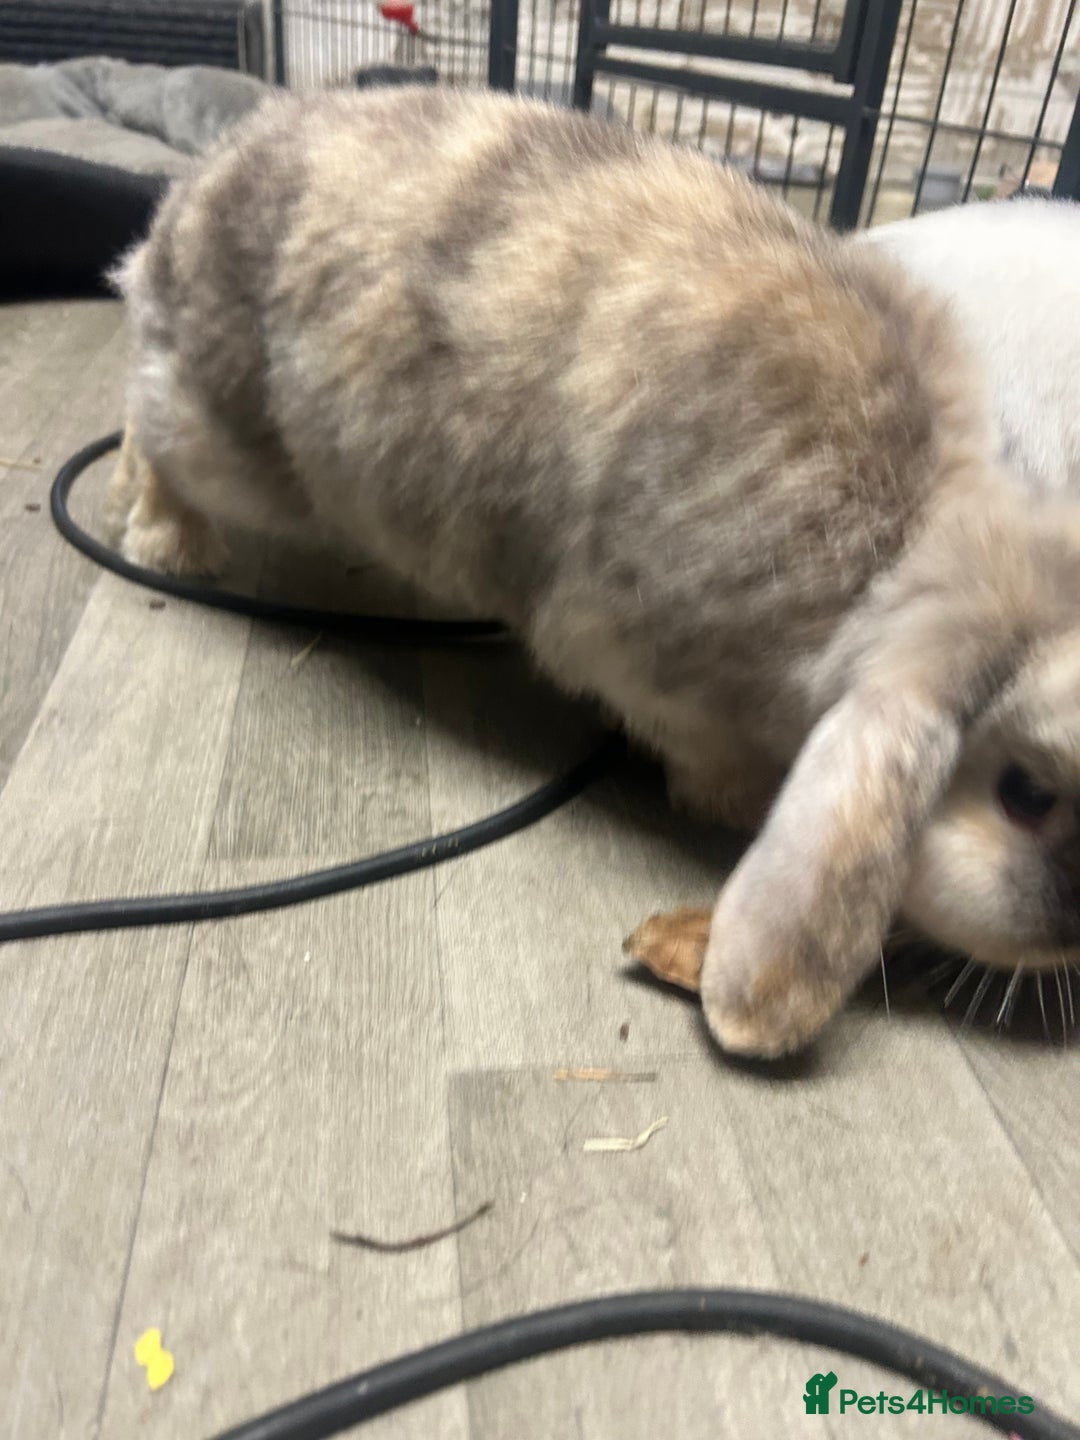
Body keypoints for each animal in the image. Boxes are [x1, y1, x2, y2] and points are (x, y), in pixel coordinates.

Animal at [109, 86, 1080, 1058]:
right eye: (1024, 794)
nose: (1065, 950)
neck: (896, 556)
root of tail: (204, 174)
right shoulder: (641, 662)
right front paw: (733, 804)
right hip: (238, 441)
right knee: (152, 415)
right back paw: (165, 537)